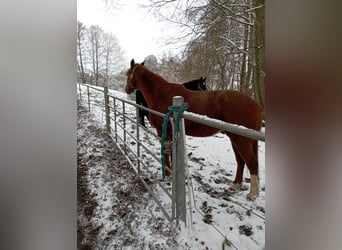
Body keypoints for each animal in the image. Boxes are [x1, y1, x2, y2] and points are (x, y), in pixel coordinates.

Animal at [125, 59, 262, 200]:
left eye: (128, 73)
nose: (127, 89)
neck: (160, 93)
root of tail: (256, 105)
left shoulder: (162, 130)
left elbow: (166, 152)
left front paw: (168, 175)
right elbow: (172, 152)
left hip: (242, 140)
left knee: (251, 162)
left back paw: (252, 194)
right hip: (234, 139)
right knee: (241, 161)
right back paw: (236, 185)